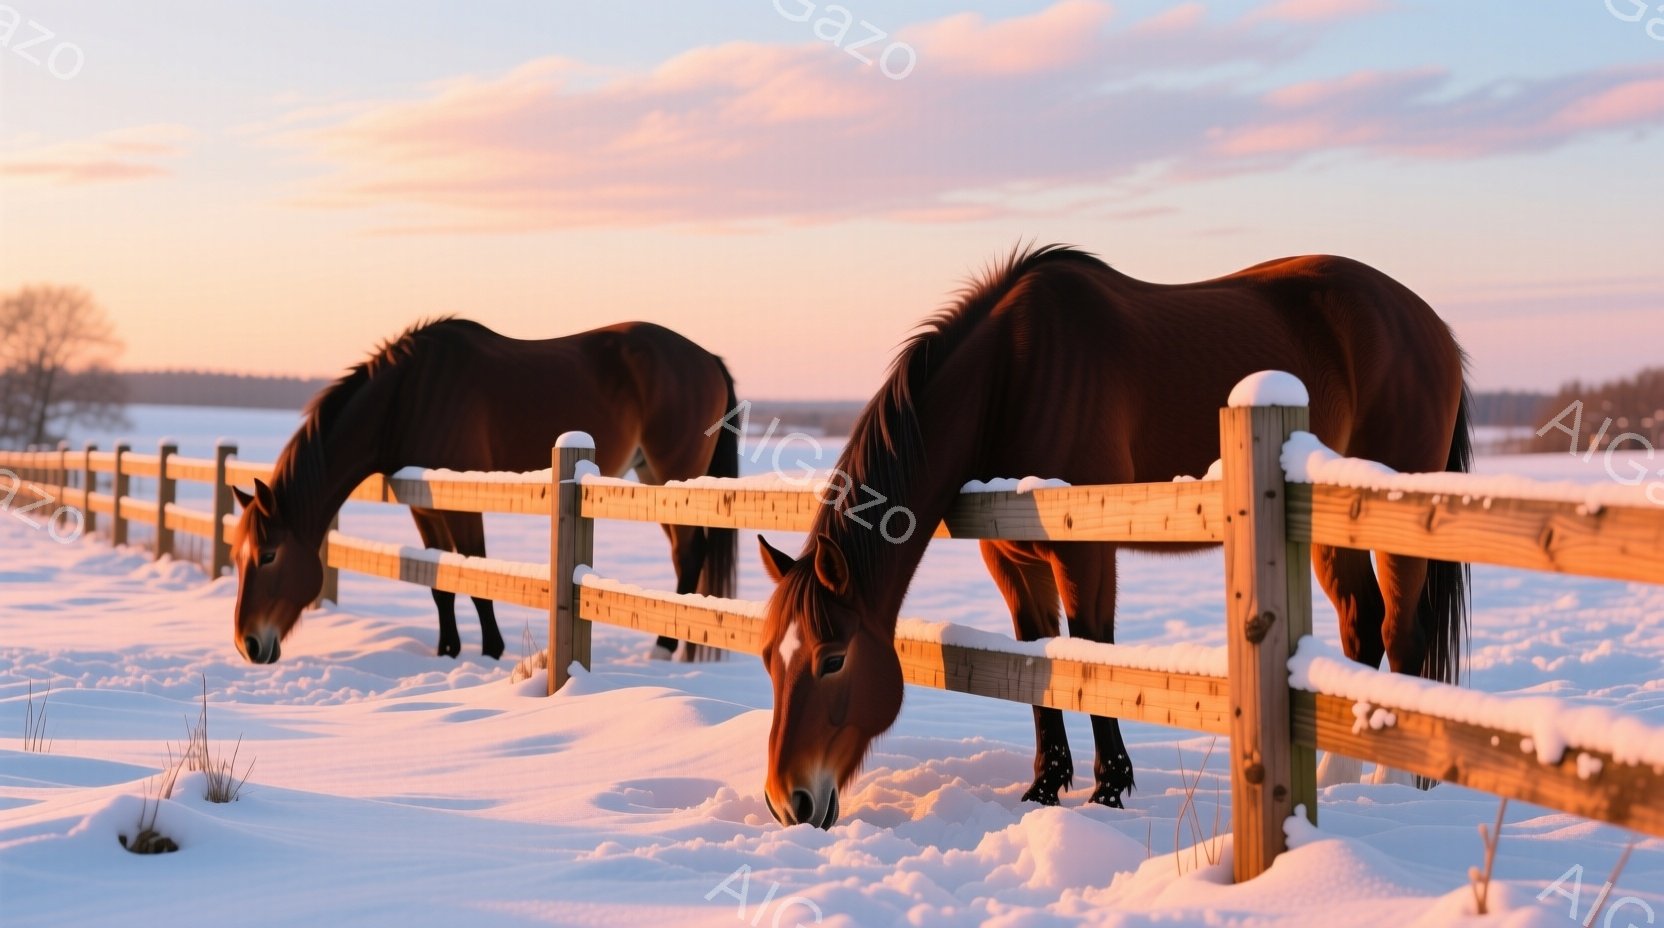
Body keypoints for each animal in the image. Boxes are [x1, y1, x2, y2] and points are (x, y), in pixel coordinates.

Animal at [229, 318, 738, 665]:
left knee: (689, 554)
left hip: (674, 475)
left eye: (269, 555)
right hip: (652, 478)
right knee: (684, 554)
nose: (247, 642)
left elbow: (475, 576)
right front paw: (447, 650)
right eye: (237, 555)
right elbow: (441, 582)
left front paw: (491, 650)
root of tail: (708, 358)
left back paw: (664, 648)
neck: (405, 397)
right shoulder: (424, 506)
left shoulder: (461, 503)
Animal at [756, 245, 1471, 829]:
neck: (1010, 376)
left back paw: (1395, 780)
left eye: (832, 659)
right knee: (1361, 622)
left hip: (1391, 517)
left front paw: (1108, 789)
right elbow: (1035, 656)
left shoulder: (1087, 548)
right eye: (768, 659)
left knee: (1399, 633)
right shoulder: (1009, 555)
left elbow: (1091, 650)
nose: (788, 801)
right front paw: (1045, 788)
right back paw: (1339, 777)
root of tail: (1431, 326)